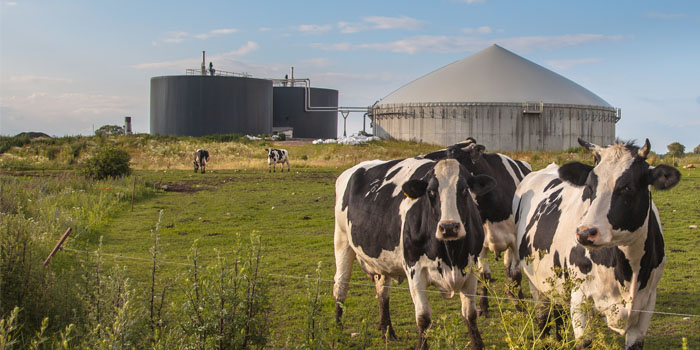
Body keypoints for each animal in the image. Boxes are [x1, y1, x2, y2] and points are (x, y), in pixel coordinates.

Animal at [334, 149, 494, 348]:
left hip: (382, 262)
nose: (449, 227)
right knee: (340, 287)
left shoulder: (470, 269)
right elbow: (423, 318)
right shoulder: (414, 270)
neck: (451, 254)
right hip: (342, 241)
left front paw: (477, 344)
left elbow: (470, 315)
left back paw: (388, 332)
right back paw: (337, 331)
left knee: (382, 293)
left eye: (464, 190)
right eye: (431, 192)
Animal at [424, 138, 532, 316]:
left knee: (509, 267)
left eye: (452, 151)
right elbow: (484, 275)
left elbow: (516, 273)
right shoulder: (480, 243)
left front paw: (520, 305)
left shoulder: (516, 241)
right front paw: (483, 306)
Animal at [512, 138, 680, 348]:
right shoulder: (580, 301)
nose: (585, 233)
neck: (627, 272)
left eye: (627, 187)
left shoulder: (646, 306)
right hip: (536, 282)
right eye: (590, 188)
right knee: (543, 319)